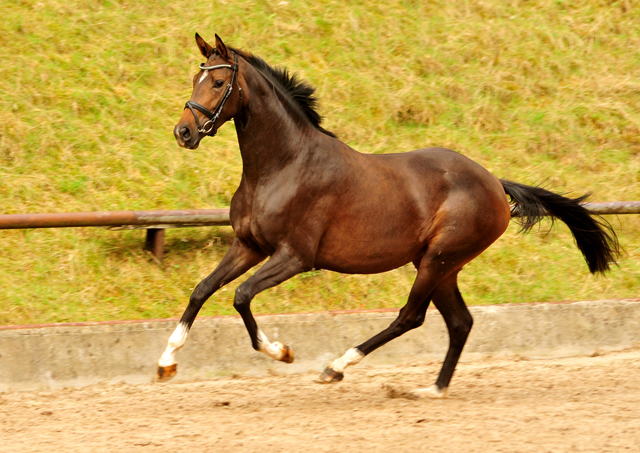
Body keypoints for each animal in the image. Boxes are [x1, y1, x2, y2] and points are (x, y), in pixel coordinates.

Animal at [156, 33, 620, 398]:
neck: (282, 166)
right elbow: (202, 289)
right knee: (460, 322)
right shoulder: (248, 246)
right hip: (441, 265)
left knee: (412, 316)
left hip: (438, 259)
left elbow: (241, 296)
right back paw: (433, 389)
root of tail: (493, 181)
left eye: (219, 82)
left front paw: (283, 352)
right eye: (195, 78)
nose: (183, 132)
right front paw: (166, 362)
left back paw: (337, 368)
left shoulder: (294, 257)